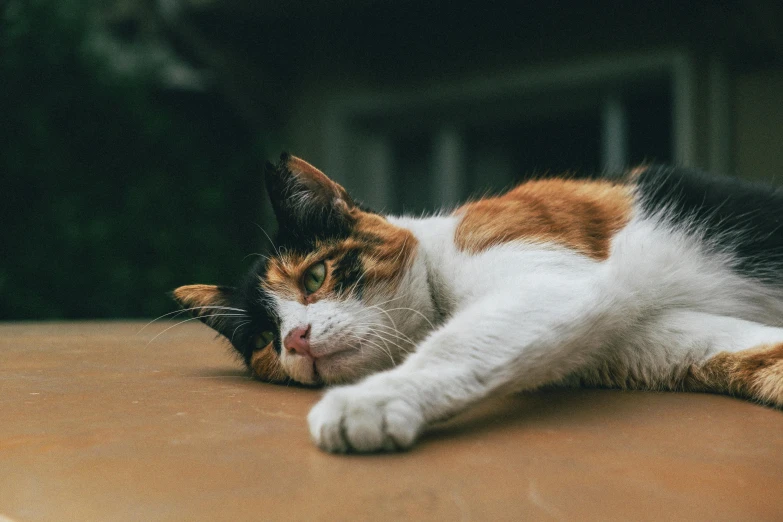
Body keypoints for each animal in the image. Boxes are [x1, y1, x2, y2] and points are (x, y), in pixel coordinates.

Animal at [172, 153, 783, 450]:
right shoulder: (646, 335)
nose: (295, 340)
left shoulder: (550, 282)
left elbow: (457, 346)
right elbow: (749, 353)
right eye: (263, 341)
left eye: (315, 276)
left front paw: (369, 402)